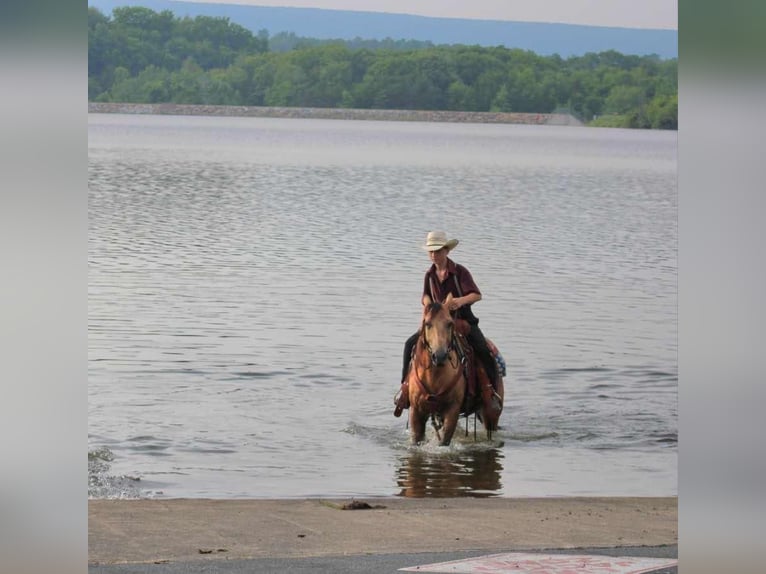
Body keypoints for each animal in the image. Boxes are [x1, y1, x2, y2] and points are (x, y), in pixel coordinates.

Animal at [404, 294, 508, 448]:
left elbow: (444, 441)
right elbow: (417, 440)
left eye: (449, 324)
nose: (440, 355)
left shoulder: (452, 410)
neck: (435, 377)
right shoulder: (416, 411)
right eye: (427, 324)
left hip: (491, 416)